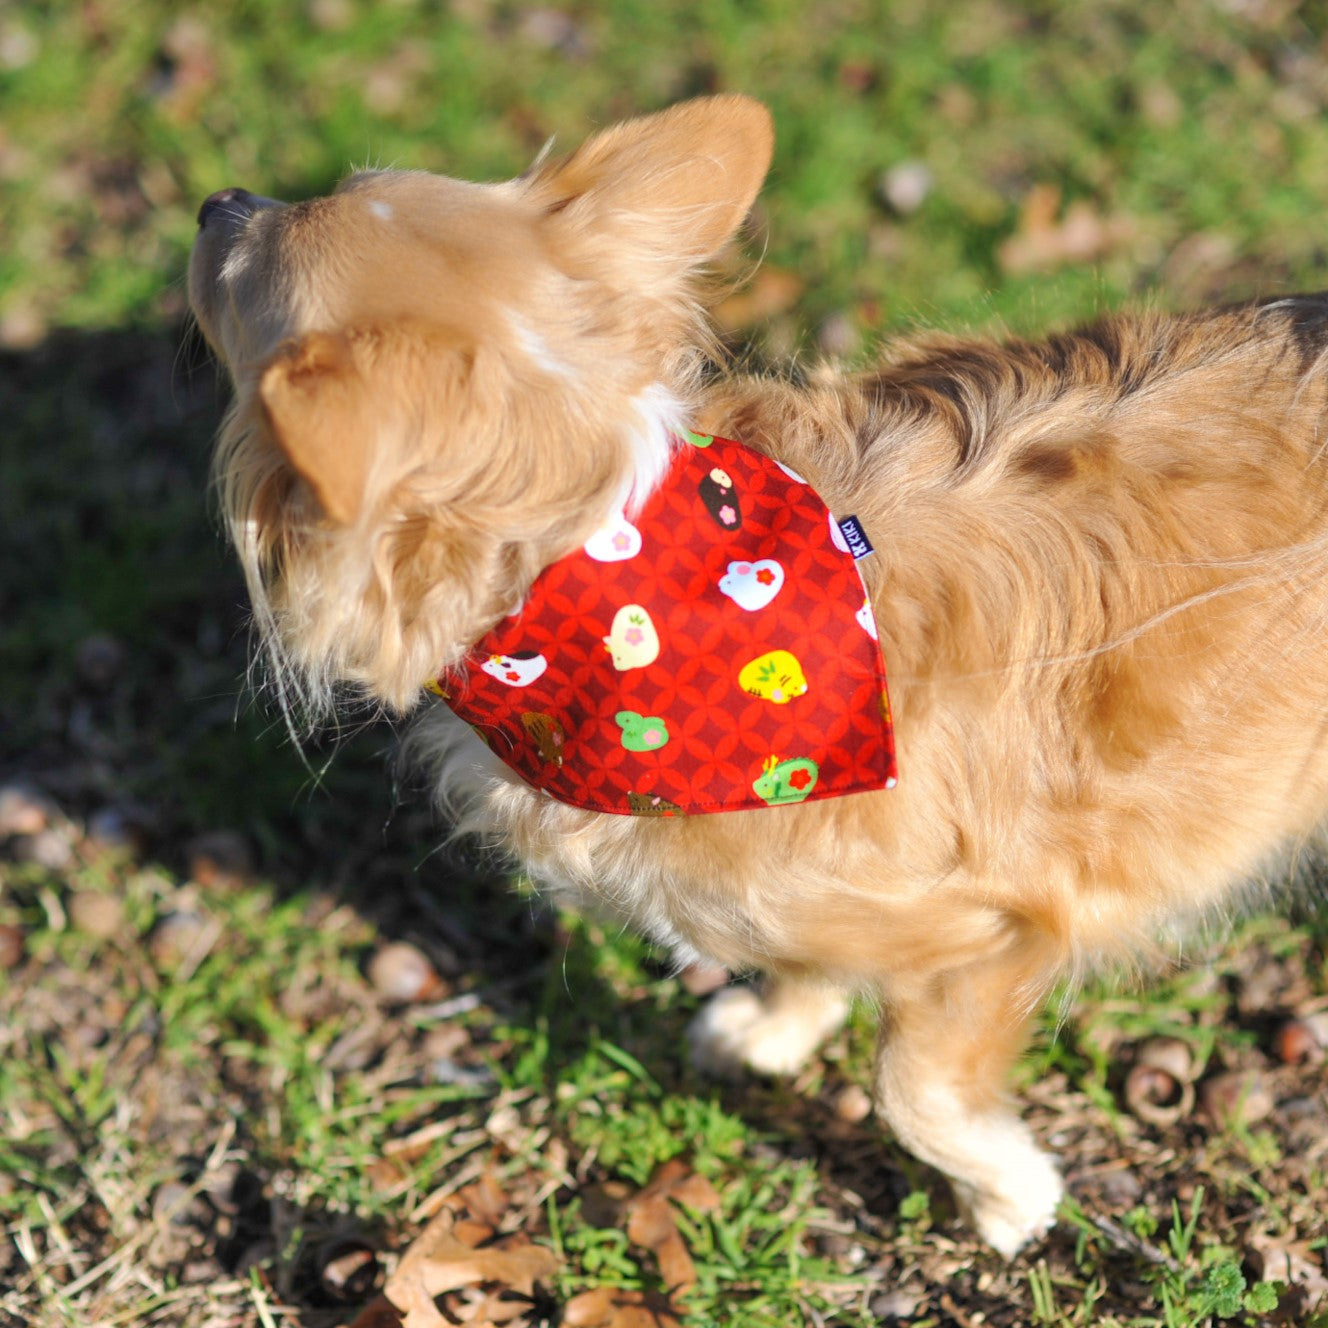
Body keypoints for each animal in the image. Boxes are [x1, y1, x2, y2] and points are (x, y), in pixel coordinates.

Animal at [189, 93, 1328, 1253]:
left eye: (238, 279)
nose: (215, 198)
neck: (627, 575)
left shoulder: (999, 932)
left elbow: (913, 1087)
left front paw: (1011, 1197)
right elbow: (806, 961)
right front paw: (777, 1027)